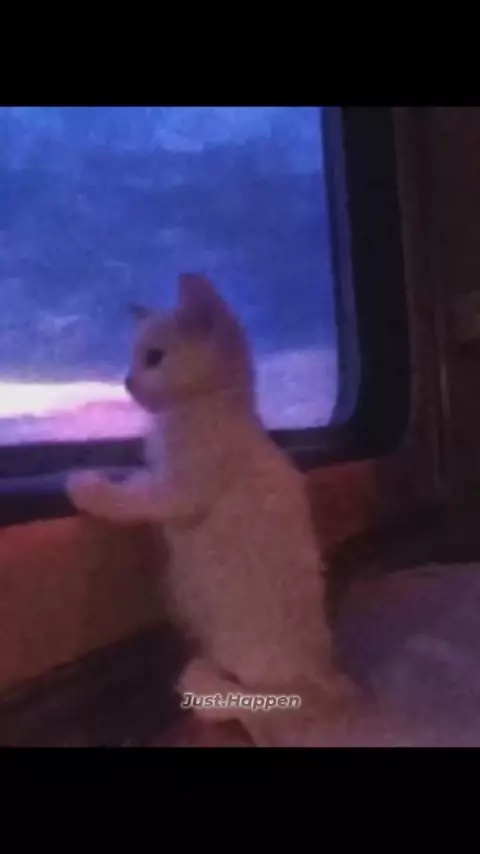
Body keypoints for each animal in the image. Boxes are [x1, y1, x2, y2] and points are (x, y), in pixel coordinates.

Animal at [67, 273, 359, 747]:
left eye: (154, 357)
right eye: (132, 358)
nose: (127, 381)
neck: (208, 408)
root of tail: (324, 679)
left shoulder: (179, 490)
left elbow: (131, 500)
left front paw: (88, 489)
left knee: (248, 706)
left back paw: (202, 684)